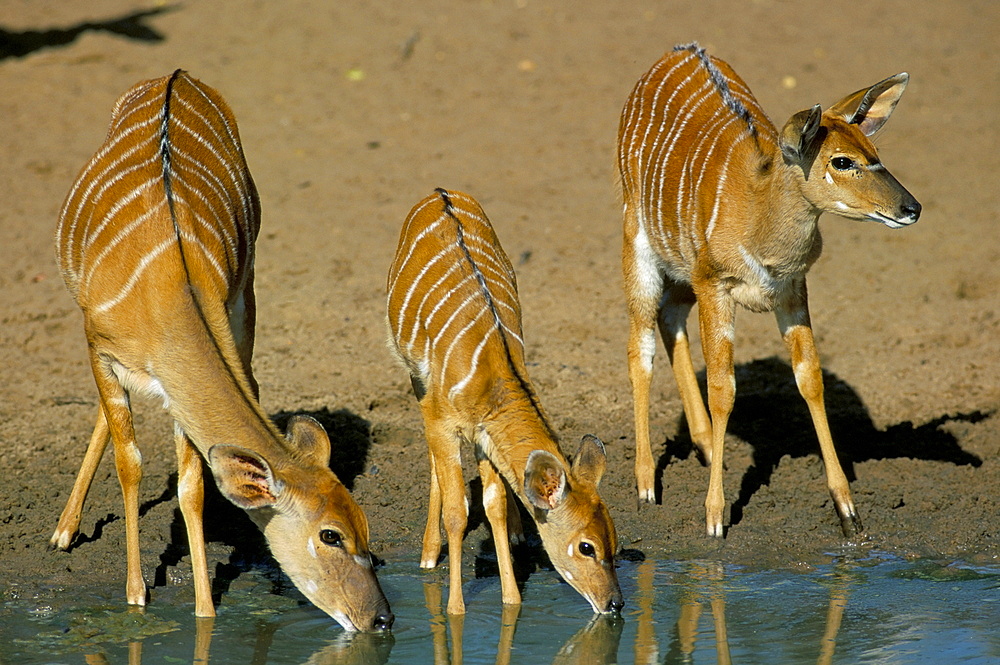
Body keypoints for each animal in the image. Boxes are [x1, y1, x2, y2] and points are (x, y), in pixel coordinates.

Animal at [51, 70, 390, 632]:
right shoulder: (99, 347)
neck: (169, 292)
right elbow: (131, 463)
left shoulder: (180, 384)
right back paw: (63, 530)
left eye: (364, 524)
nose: (381, 618)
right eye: (331, 535)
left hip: (245, 298)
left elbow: (192, 486)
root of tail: (176, 76)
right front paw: (136, 594)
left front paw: (206, 613)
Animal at [386, 187, 620, 612]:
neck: (492, 372)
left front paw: (511, 600)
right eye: (586, 547)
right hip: (416, 381)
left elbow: (492, 504)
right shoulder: (444, 422)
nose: (615, 603)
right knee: (434, 463)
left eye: (614, 538)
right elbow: (457, 511)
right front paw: (455, 609)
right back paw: (428, 554)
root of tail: (440, 192)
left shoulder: (484, 434)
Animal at [616, 44, 920, 536]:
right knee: (639, 347)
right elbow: (724, 389)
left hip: (682, 273)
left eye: (874, 151)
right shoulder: (715, 285)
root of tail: (677, 52)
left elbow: (810, 378)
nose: (911, 208)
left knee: (669, 319)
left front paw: (849, 512)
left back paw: (705, 448)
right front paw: (715, 517)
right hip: (637, 241)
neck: (758, 213)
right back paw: (645, 487)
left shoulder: (792, 290)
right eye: (841, 161)